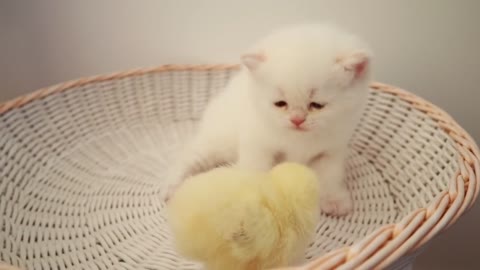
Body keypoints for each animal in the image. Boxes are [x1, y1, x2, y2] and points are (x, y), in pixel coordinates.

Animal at [167, 23, 374, 217]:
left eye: (317, 105)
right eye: (280, 103)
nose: (297, 120)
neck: (300, 139)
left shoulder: (332, 151)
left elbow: (330, 175)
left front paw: (334, 199)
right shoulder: (258, 145)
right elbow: (256, 170)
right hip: (217, 139)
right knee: (191, 155)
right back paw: (172, 185)